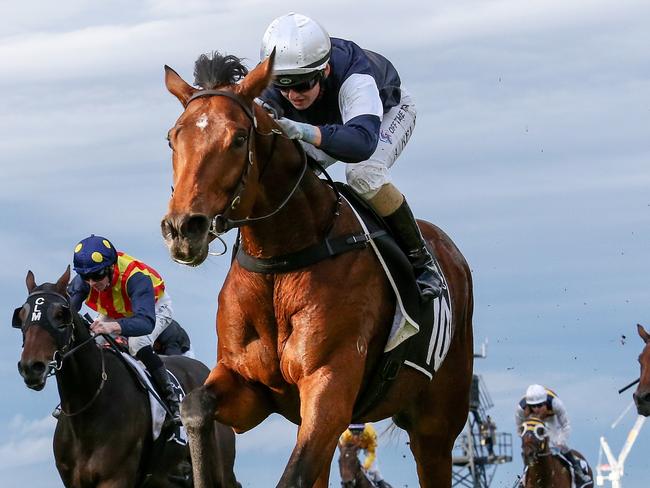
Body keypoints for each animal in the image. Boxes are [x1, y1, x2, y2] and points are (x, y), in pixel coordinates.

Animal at [13, 268, 239, 486]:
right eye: (22, 315)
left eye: (60, 315)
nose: (31, 367)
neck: (87, 408)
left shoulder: (116, 478)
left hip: (219, 469)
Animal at [157, 51, 470, 486]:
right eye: (173, 138)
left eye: (238, 139)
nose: (183, 229)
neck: (282, 261)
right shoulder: (250, 387)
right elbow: (196, 407)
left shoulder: (329, 386)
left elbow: (295, 475)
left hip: (435, 425)